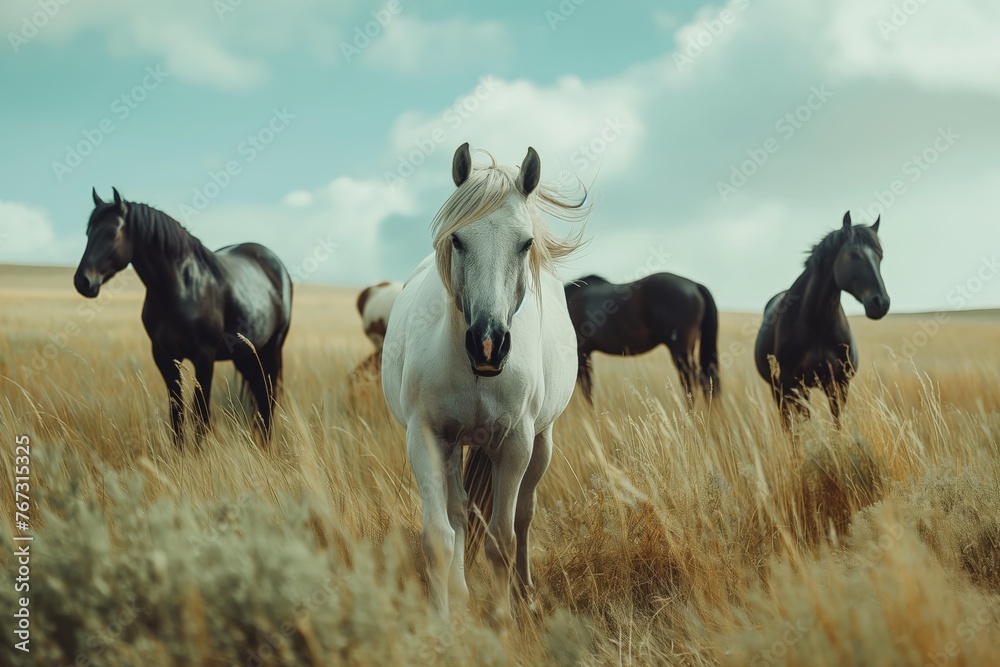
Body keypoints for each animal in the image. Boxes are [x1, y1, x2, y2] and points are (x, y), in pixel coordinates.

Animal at [74, 188, 292, 446]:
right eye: (88, 232)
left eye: (113, 232)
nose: (83, 281)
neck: (180, 287)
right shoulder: (164, 355)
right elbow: (177, 414)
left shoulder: (204, 357)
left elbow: (200, 416)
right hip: (247, 353)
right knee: (258, 397)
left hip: (273, 348)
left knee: (269, 397)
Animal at [382, 142, 584, 616]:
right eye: (457, 239)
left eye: (525, 243)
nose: (488, 344)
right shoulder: (427, 436)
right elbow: (439, 537)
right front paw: (443, 618)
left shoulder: (516, 443)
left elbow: (502, 541)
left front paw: (505, 617)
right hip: (454, 446)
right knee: (458, 512)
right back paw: (460, 590)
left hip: (541, 442)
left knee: (524, 515)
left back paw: (525, 592)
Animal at [752, 210, 888, 428]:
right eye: (853, 255)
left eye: (880, 256)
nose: (881, 303)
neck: (816, 323)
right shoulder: (792, 385)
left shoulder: (839, 384)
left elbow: (838, 425)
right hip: (781, 391)